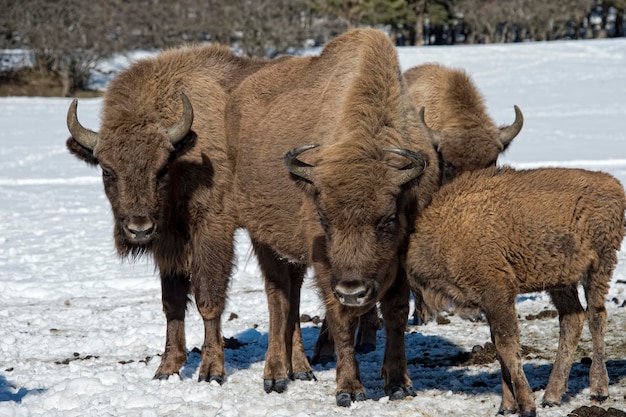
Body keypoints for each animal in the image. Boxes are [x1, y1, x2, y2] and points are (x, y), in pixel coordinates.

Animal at [64, 44, 272, 384]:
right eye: (107, 171)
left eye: (161, 169)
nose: (139, 229)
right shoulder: (168, 244)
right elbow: (172, 304)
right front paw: (167, 369)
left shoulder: (212, 229)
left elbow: (207, 297)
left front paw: (211, 371)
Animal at [225, 27, 438, 404]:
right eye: (324, 219)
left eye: (387, 220)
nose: (353, 290)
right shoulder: (326, 264)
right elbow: (341, 318)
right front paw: (349, 389)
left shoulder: (400, 254)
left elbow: (396, 312)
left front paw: (398, 383)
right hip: (263, 238)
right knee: (277, 299)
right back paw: (275, 375)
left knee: (292, 297)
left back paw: (301, 369)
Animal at [404, 166, 624, 416]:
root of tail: (614, 185)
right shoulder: (489, 304)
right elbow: (499, 348)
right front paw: (506, 406)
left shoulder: (498, 293)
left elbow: (506, 345)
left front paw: (526, 406)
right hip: (560, 280)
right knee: (572, 319)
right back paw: (552, 396)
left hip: (598, 265)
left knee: (596, 316)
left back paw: (598, 390)